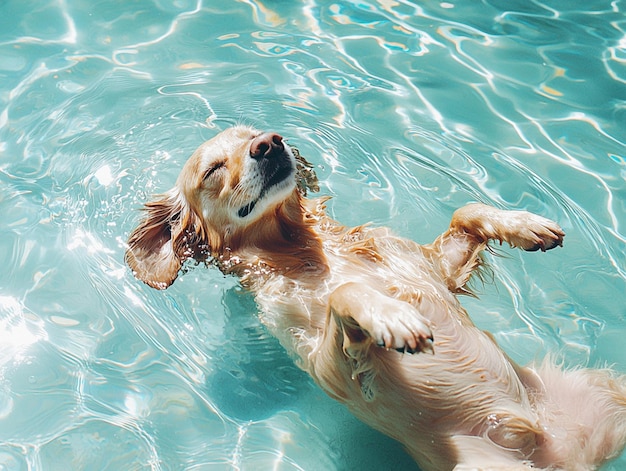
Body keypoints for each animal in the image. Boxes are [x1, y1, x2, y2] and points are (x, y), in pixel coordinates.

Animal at [125, 125, 624, 471]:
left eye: (255, 134)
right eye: (212, 169)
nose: (270, 143)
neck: (304, 248)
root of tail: (574, 453)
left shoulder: (433, 267)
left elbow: (464, 211)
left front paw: (524, 225)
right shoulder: (328, 367)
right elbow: (347, 292)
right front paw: (394, 318)